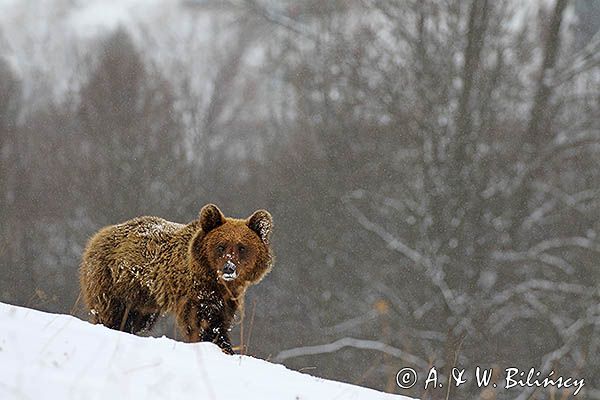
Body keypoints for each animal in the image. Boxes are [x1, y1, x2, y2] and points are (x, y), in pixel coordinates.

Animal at [79, 205, 274, 354]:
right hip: (112, 282)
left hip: (143, 300)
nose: (229, 268)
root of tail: (98, 235)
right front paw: (221, 346)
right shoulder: (196, 292)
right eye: (221, 246)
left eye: (242, 247)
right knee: (112, 314)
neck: (216, 280)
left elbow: (220, 321)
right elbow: (204, 323)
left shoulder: (228, 297)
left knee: (137, 320)